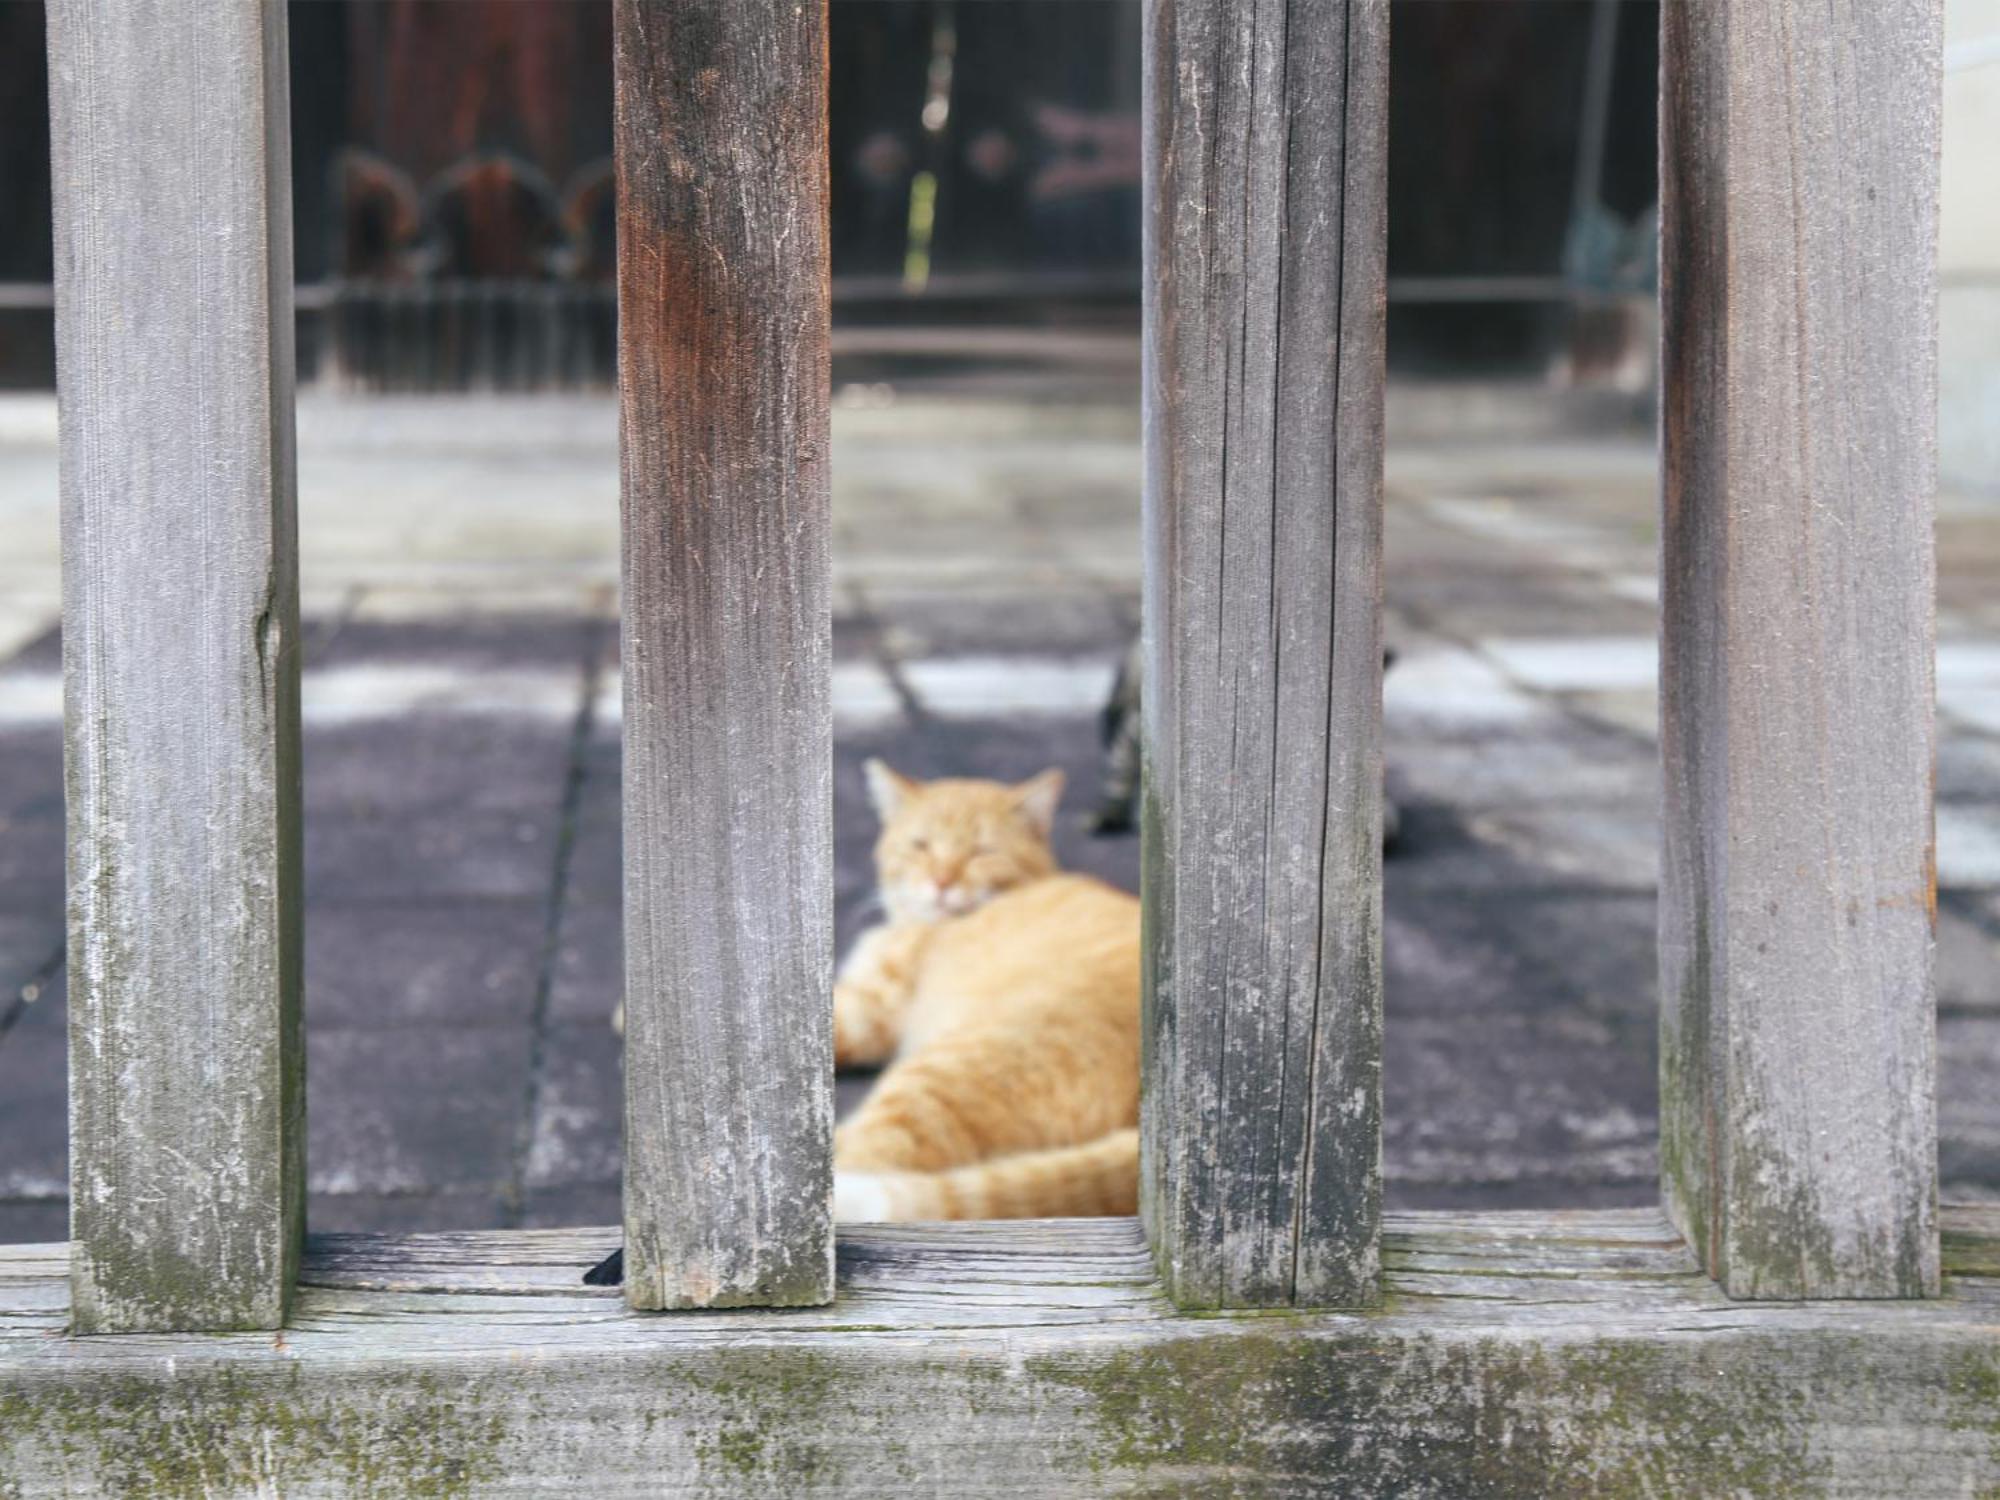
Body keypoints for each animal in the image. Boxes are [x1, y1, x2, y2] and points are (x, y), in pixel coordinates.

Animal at [832, 764, 1144, 1224]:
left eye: (982, 851)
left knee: (867, 1157)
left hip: (939, 1073)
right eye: (921, 845)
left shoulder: (868, 1007)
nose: (941, 881)